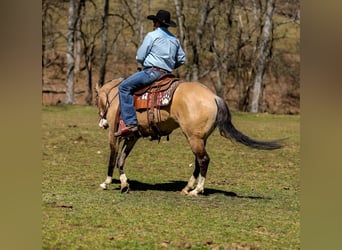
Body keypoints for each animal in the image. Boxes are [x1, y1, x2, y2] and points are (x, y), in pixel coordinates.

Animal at [95, 75, 284, 196]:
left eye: (97, 100)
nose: (102, 123)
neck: (116, 97)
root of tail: (214, 97)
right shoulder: (132, 137)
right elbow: (121, 159)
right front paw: (124, 183)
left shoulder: (113, 135)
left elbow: (112, 158)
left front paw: (106, 183)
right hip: (200, 138)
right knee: (198, 161)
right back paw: (187, 188)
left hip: (193, 138)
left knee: (204, 160)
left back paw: (196, 190)